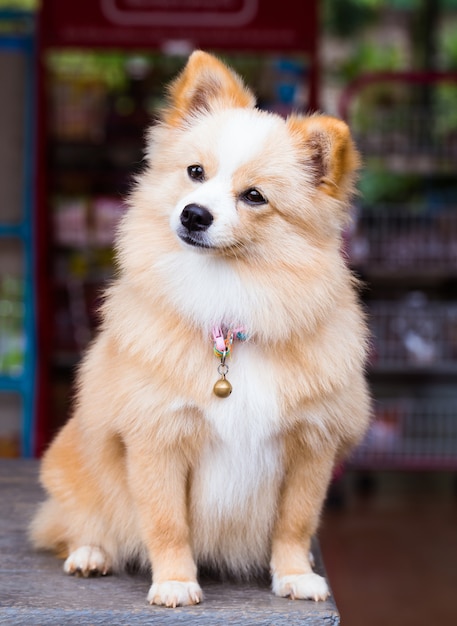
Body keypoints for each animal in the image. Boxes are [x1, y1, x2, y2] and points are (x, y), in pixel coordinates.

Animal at [29, 51, 370, 608]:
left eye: (254, 196)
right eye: (195, 173)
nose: (194, 214)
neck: (228, 302)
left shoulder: (311, 446)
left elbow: (295, 523)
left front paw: (295, 575)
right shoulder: (156, 437)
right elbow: (166, 523)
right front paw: (174, 581)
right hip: (73, 468)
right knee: (75, 520)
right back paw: (91, 553)